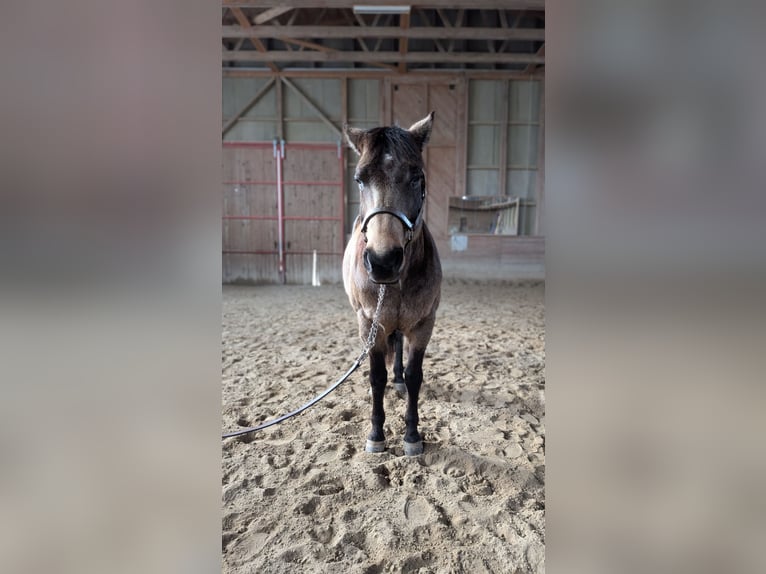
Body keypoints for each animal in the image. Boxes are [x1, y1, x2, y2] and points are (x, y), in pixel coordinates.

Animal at [342, 112, 442, 457]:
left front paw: (412, 436)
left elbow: (414, 376)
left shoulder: (424, 324)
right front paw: (376, 435)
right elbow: (376, 377)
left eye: (416, 178)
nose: (383, 261)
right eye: (359, 179)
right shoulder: (369, 322)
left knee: (398, 346)